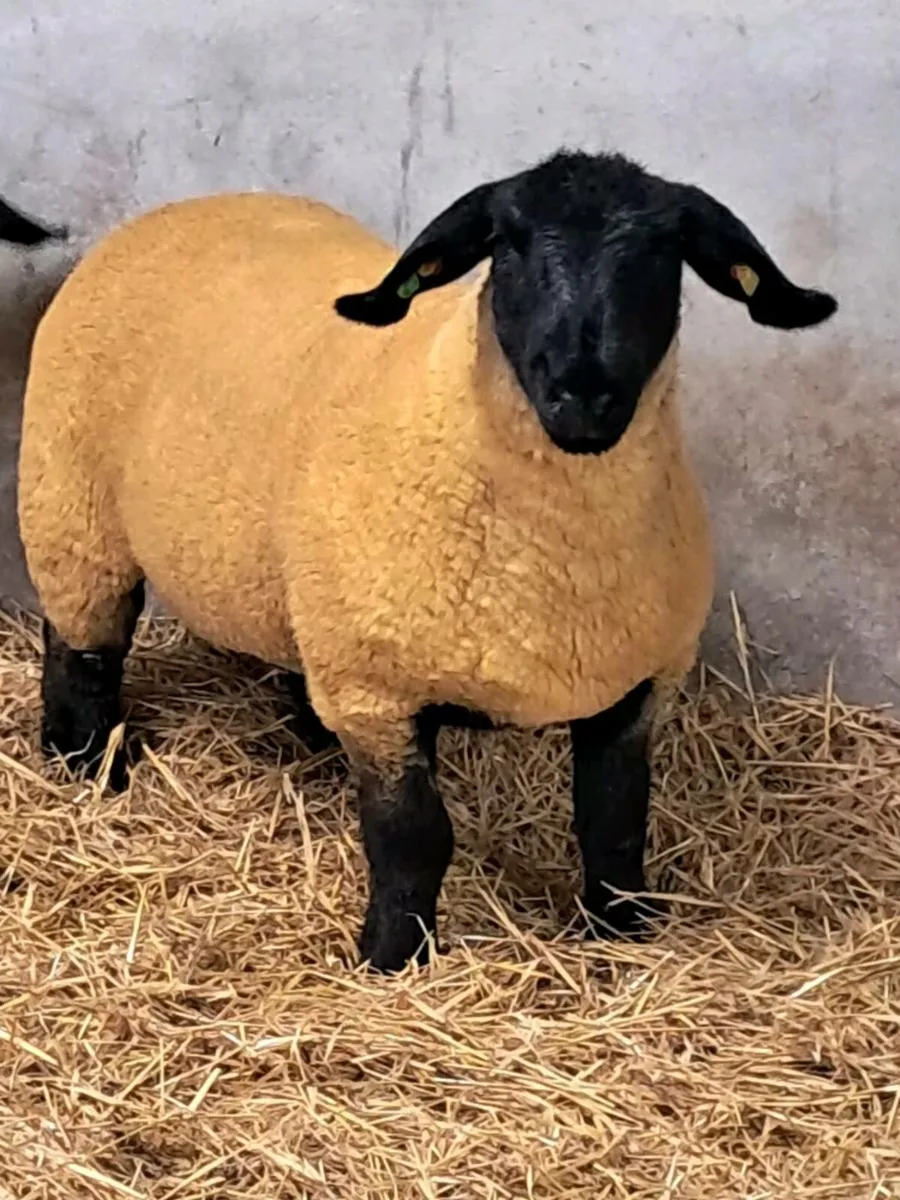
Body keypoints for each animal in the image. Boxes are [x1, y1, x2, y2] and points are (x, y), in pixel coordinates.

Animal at [18, 149, 837, 972]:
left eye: (666, 253)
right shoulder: (378, 694)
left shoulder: (636, 685)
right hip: (70, 508)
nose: (583, 395)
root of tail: (194, 204)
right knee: (81, 650)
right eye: (507, 244)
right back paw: (85, 766)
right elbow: (413, 840)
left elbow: (614, 819)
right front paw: (393, 956)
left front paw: (624, 929)